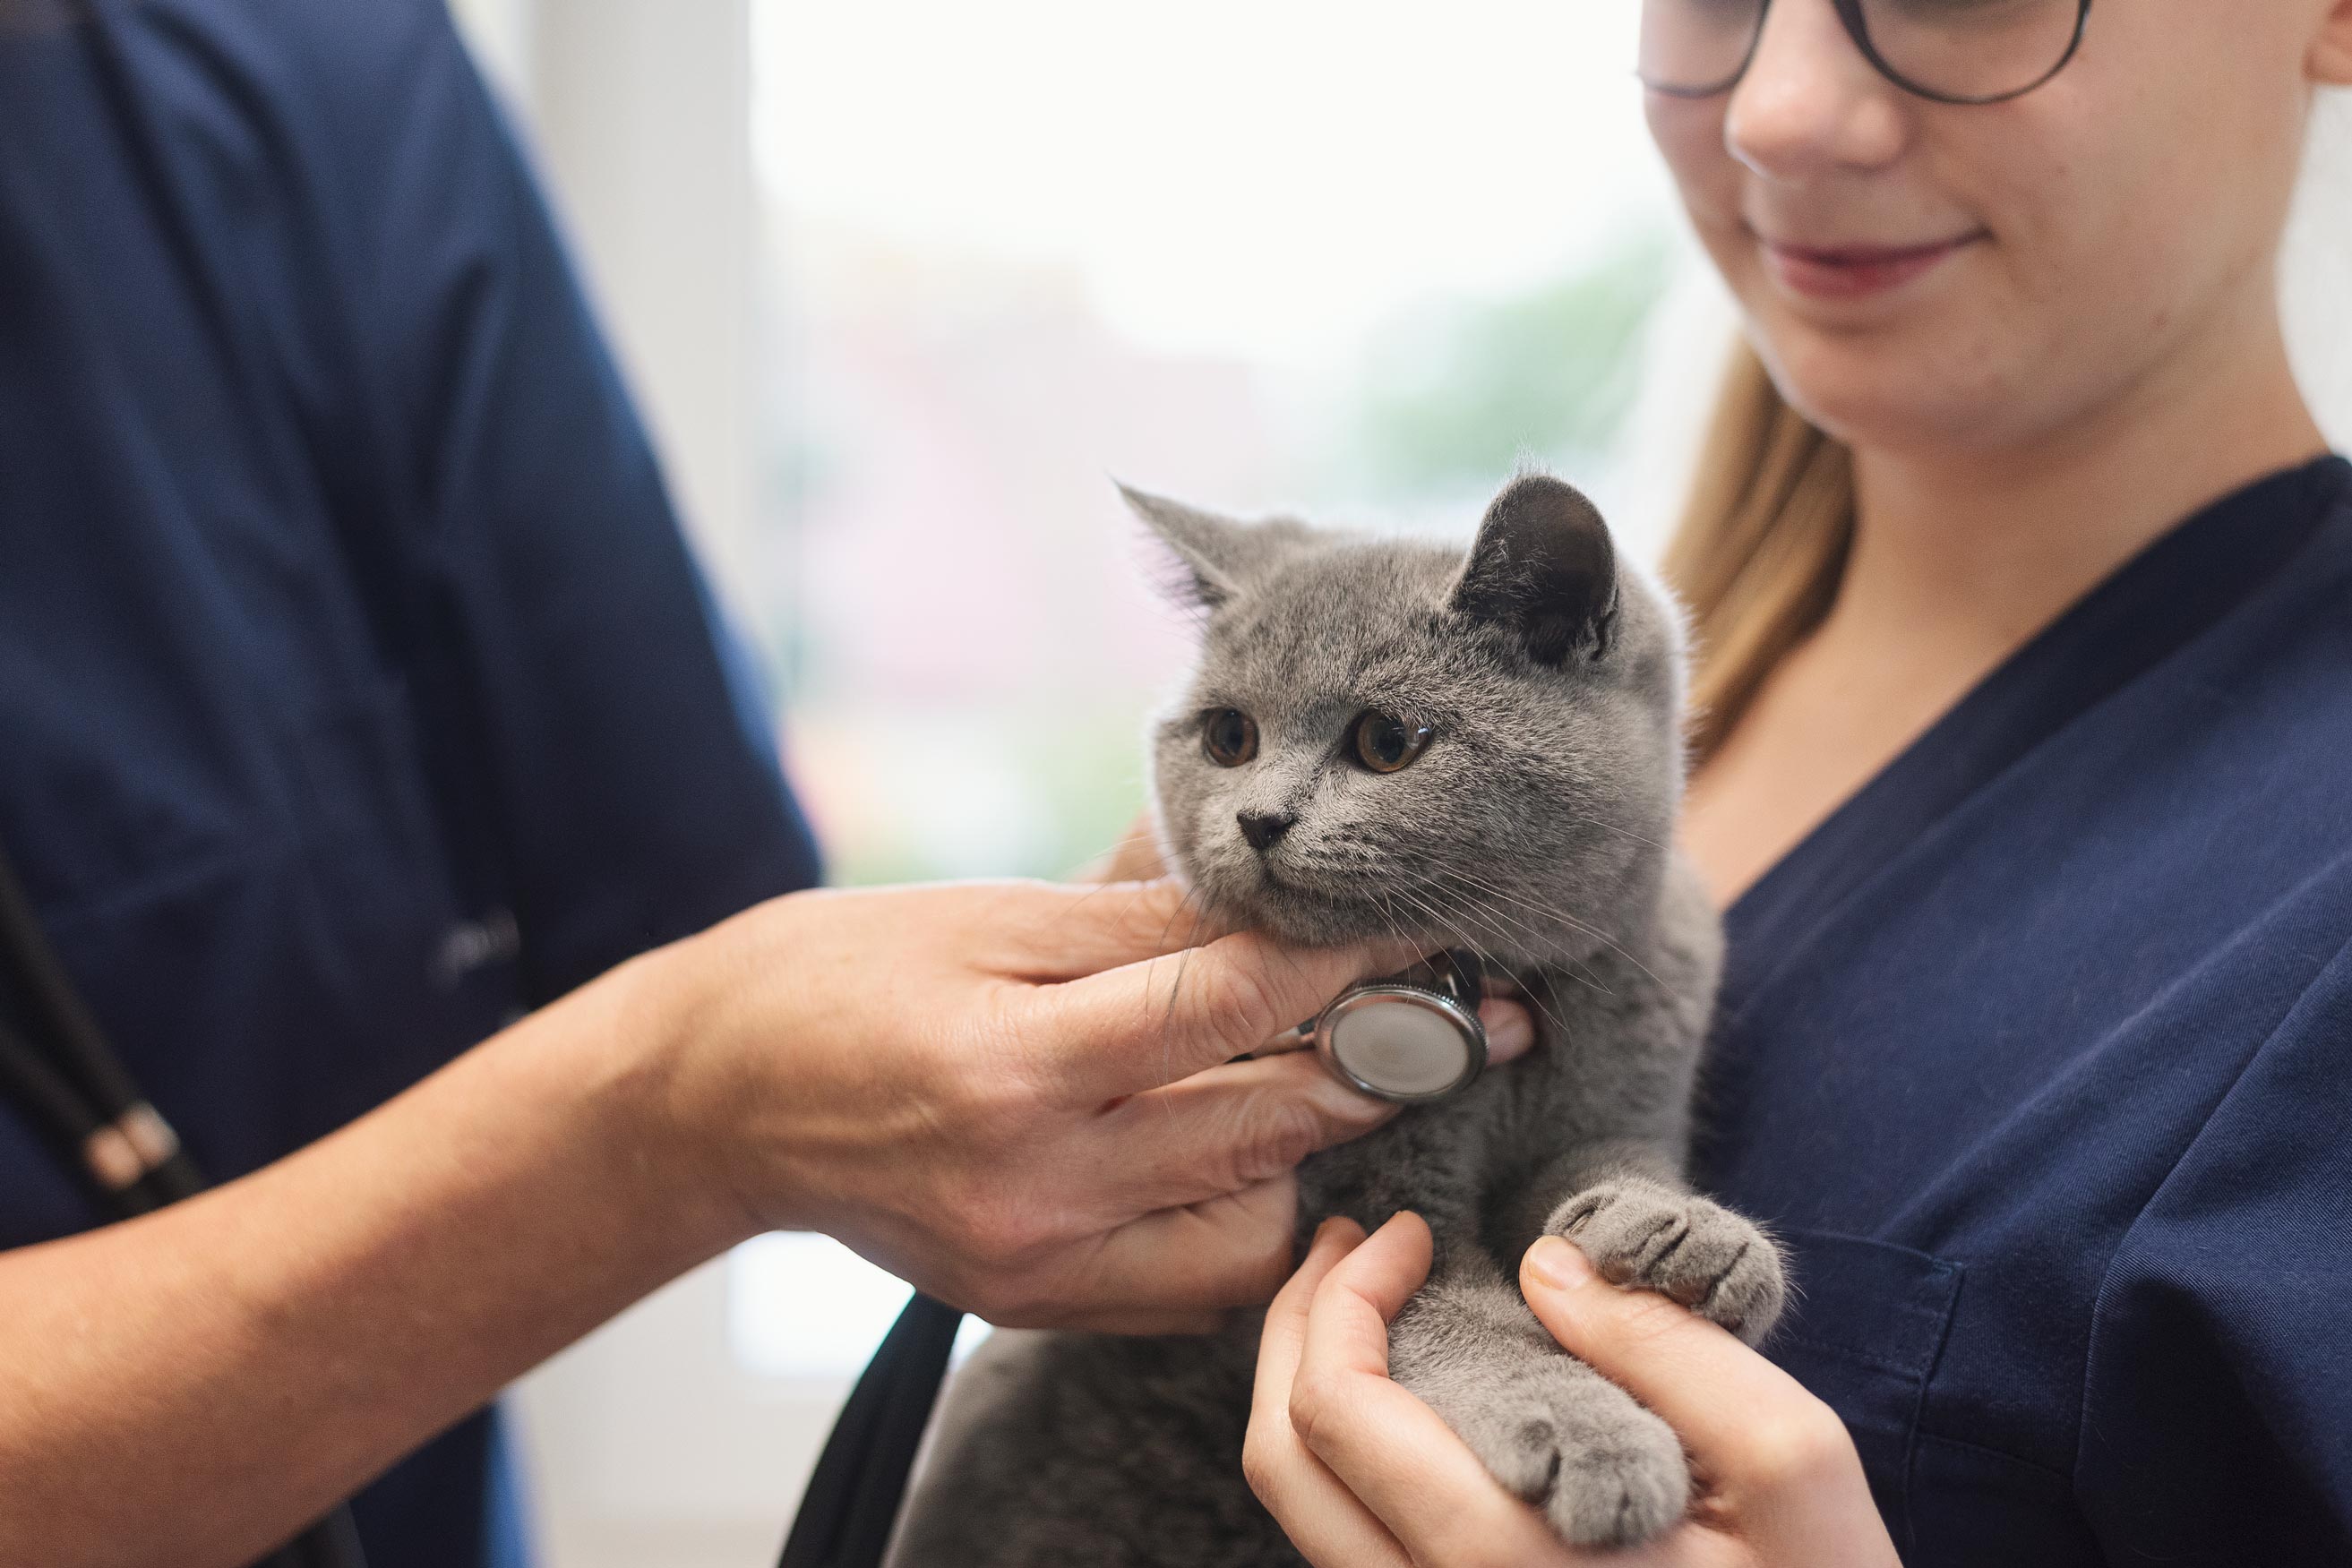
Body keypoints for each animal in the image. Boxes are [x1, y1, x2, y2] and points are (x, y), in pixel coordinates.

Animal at [888, 475, 1787, 1568]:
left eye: (1386, 742)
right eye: (1229, 737)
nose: (1258, 819)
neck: (1485, 991)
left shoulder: (1622, 1081)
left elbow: (1610, 1162)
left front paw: (1685, 1235)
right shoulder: (1368, 1200)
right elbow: (1458, 1313)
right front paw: (1590, 1435)